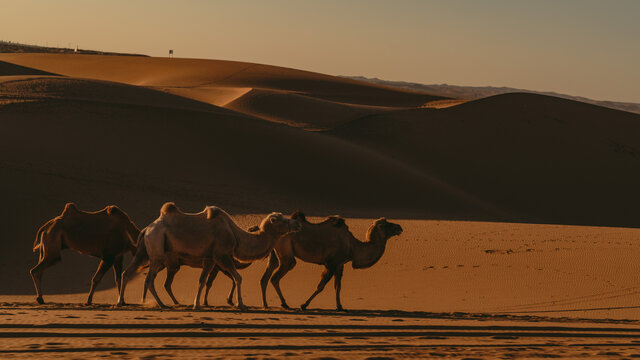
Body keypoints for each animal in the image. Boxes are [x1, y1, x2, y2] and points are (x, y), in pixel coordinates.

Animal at [117, 202, 300, 310]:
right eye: (283, 220)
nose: (297, 224)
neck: (235, 235)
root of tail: (147, 228)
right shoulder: (222, 255)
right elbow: (238, 277)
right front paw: (240, 304)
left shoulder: (210, 258)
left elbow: (202, 280)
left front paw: (197, 304)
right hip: (157, 250)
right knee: (148, 279)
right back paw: (162, 304)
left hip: (144, 250)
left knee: (127, 273)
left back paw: (121, 302)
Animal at [258, 212, 400, 310]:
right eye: (386, 224)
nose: (399, 227)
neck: (353, 246)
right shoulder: (330, 263)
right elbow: (321, 286)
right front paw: (304, 304)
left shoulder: (339, 264)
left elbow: (338, 286)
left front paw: (340, 307)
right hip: (286, 255)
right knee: (275, 277)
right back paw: (284, 304)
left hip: (274, 253)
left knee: (265, 278)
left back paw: (265, 304)